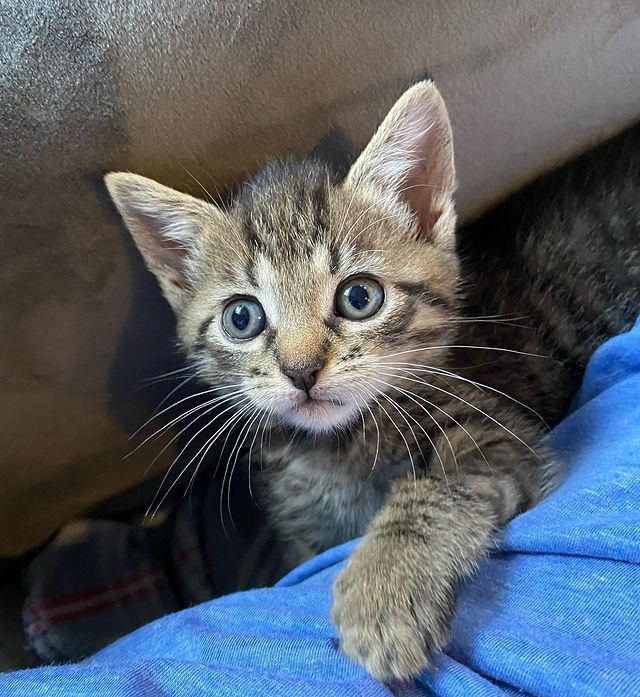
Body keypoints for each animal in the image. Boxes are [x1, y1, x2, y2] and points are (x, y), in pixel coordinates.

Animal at [106, 81, 640, 680]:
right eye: (242, 318)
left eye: (359, 297)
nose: (301, 370)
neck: (336, 450)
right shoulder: (306, 531)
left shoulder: (498, 427)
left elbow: (439, 485)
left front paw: (383, 590)